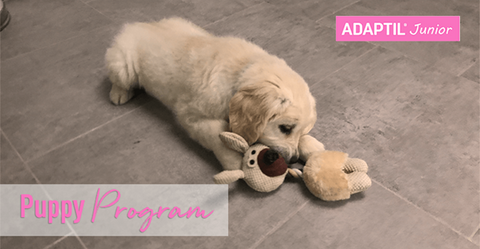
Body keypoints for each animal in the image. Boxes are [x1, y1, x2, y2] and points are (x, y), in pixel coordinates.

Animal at [105, 16, 318, 170]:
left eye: (299, 130)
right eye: (285, 128)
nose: (293, 159)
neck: (240, 71)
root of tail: (136, 24)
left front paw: (311, 145)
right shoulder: (190, 116)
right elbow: (217, 136)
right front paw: (234, 161)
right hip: (123, 65)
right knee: (118, 80)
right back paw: (119, 94)